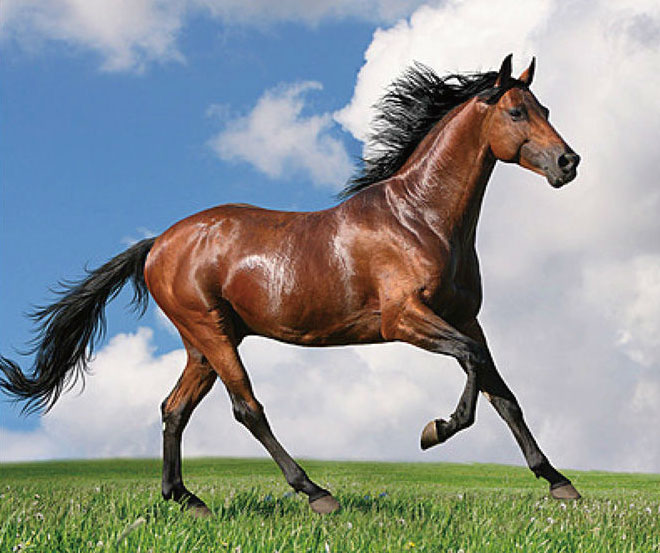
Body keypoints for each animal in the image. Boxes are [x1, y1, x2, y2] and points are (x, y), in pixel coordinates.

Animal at [0, 54, 581, 515]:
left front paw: (559, 483)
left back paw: (186, 499)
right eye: (516, 112)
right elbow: (472, 366)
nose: (568, 162)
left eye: (546, 110)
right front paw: (434, 430)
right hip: (211, 333)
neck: (421, 218)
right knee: (247, 408)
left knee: (174, 409)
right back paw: (316, 492)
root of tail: (158, 243)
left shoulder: (467, 318)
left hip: (204, 343)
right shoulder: (405, 319)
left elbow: (502, 392)